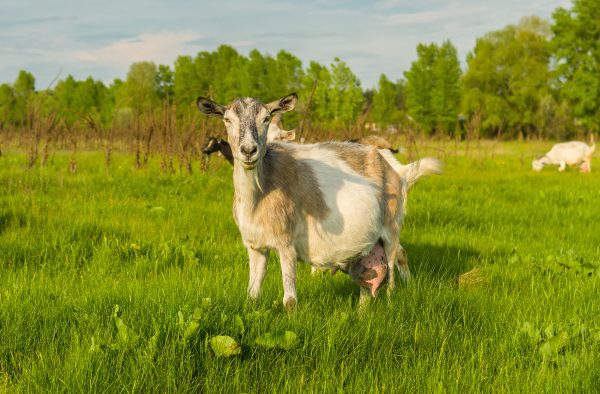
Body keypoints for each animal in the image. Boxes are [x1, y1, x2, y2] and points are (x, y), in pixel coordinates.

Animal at [198, 92, 440, 308]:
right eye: (227, 119)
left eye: (265, 118)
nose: (249, 150)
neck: (260, 195)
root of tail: (397, 172)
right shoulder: (255, 246)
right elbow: (252, 295)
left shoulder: (286, 244)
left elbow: (290, 301)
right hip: (367, 246)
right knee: (367, 284)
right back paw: (361, 313)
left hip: (391, 230)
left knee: (391, 276)